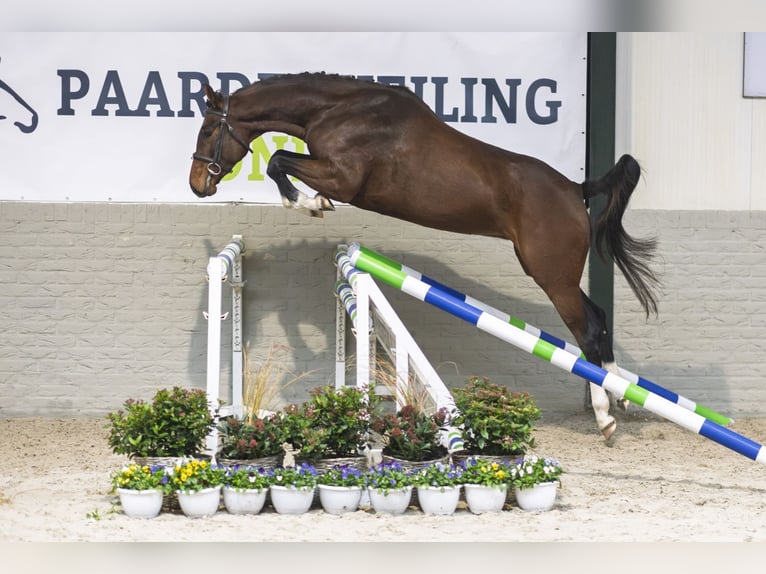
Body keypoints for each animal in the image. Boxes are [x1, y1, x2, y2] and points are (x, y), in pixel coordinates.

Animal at [190, 73, 660, 440]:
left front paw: (309, 203)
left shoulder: (342, 178)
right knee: (598, 319)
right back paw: (622, 397)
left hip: (552, 277)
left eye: (208, 132)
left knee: (586, 331)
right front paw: (309, 202)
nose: (198, 184)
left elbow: (278, 160)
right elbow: (281, 160)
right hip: (553, 274)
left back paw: (605, 416)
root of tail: (575, 189)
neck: (339, 111)